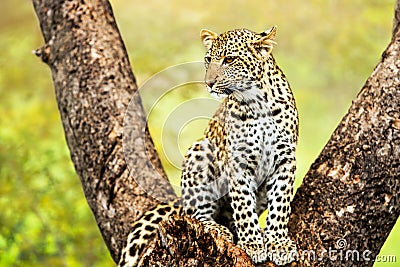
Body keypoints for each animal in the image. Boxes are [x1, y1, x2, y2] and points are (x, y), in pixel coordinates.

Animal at [119, 25, 296, 267]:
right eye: (208, 59)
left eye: (229, 59)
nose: (209, 83)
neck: (257, 102)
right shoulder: (238, 161)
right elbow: (243, 205)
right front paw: (252, 244)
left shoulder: (285, 159)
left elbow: (280, 204)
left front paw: (278, 243)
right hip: (200, 151)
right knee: (196, 213)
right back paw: (218, 229)